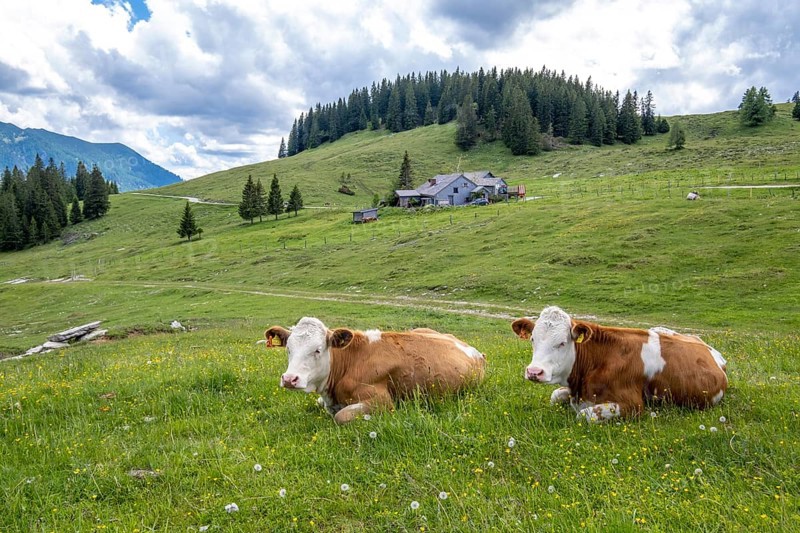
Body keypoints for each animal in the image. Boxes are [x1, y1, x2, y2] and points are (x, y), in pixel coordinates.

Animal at [511, 306, 728, 423]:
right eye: (532, 339)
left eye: (562, 343)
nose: (534, 372)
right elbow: (555, 395)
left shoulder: (633, 405)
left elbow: (584, 415)